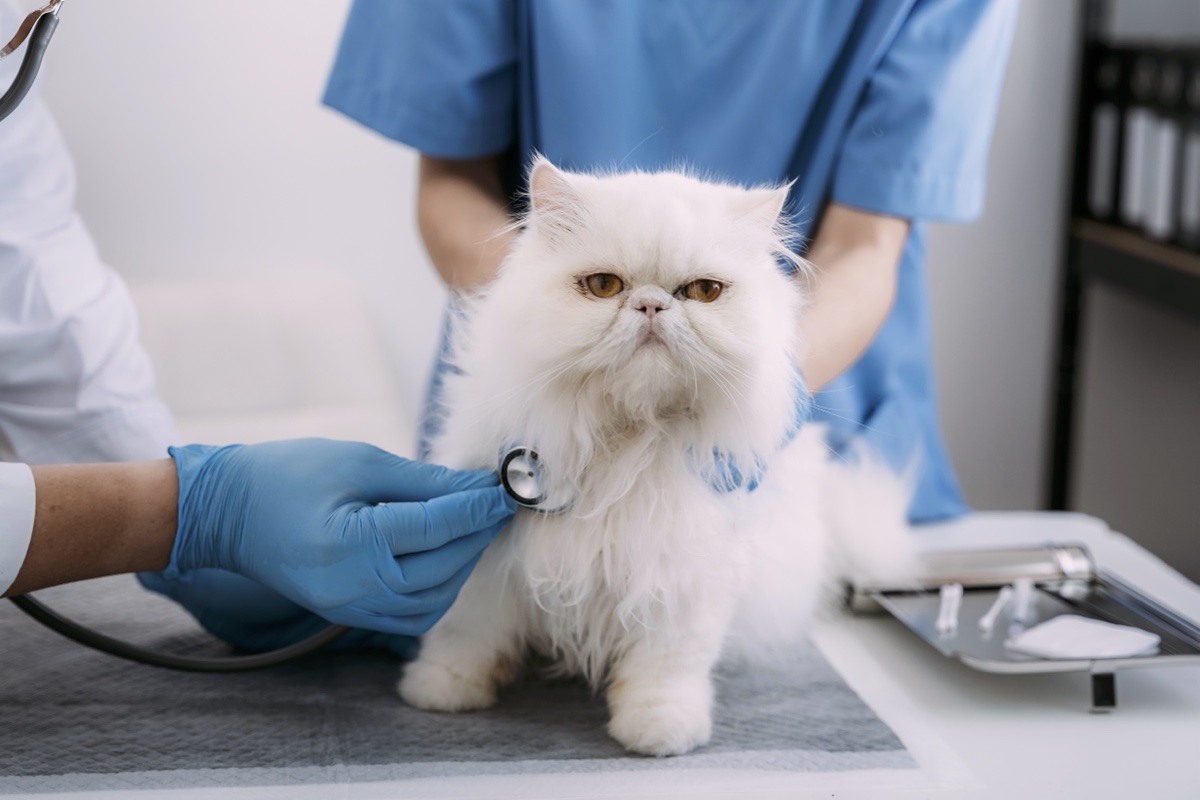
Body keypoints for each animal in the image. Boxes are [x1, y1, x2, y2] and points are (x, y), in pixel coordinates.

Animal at [398, 155, 912, 758]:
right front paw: (441, 692)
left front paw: (659, 733)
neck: (627, 441)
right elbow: (466, 635)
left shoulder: (684, 575)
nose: (650, 305)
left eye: (705, 292)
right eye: (604, 286)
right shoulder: (489, 562)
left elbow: (665, 670)